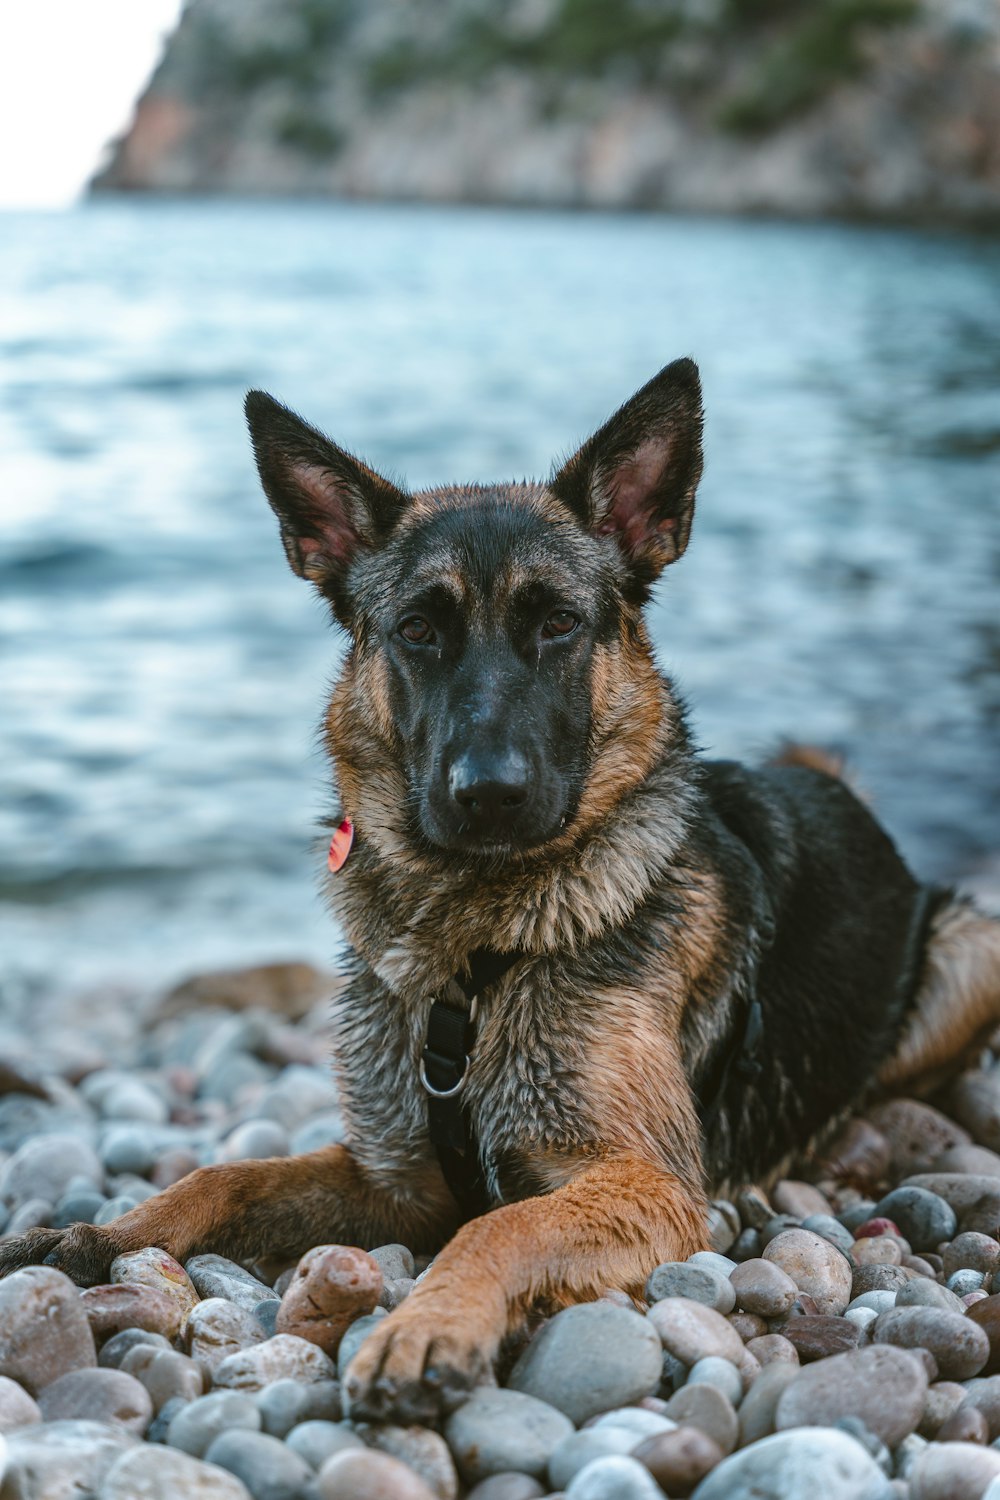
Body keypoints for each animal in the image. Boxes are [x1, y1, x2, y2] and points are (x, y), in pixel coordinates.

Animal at [1, 357, 1000, 1422]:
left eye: (558, 624)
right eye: (417, 630)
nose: (489, 794)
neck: (475, 952)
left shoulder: (645, 1183)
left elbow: (500, 1226)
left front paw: (427, 1326)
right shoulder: (396, 1181)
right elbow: (226, 1175)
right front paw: (107, 1236)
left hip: (967, 954)